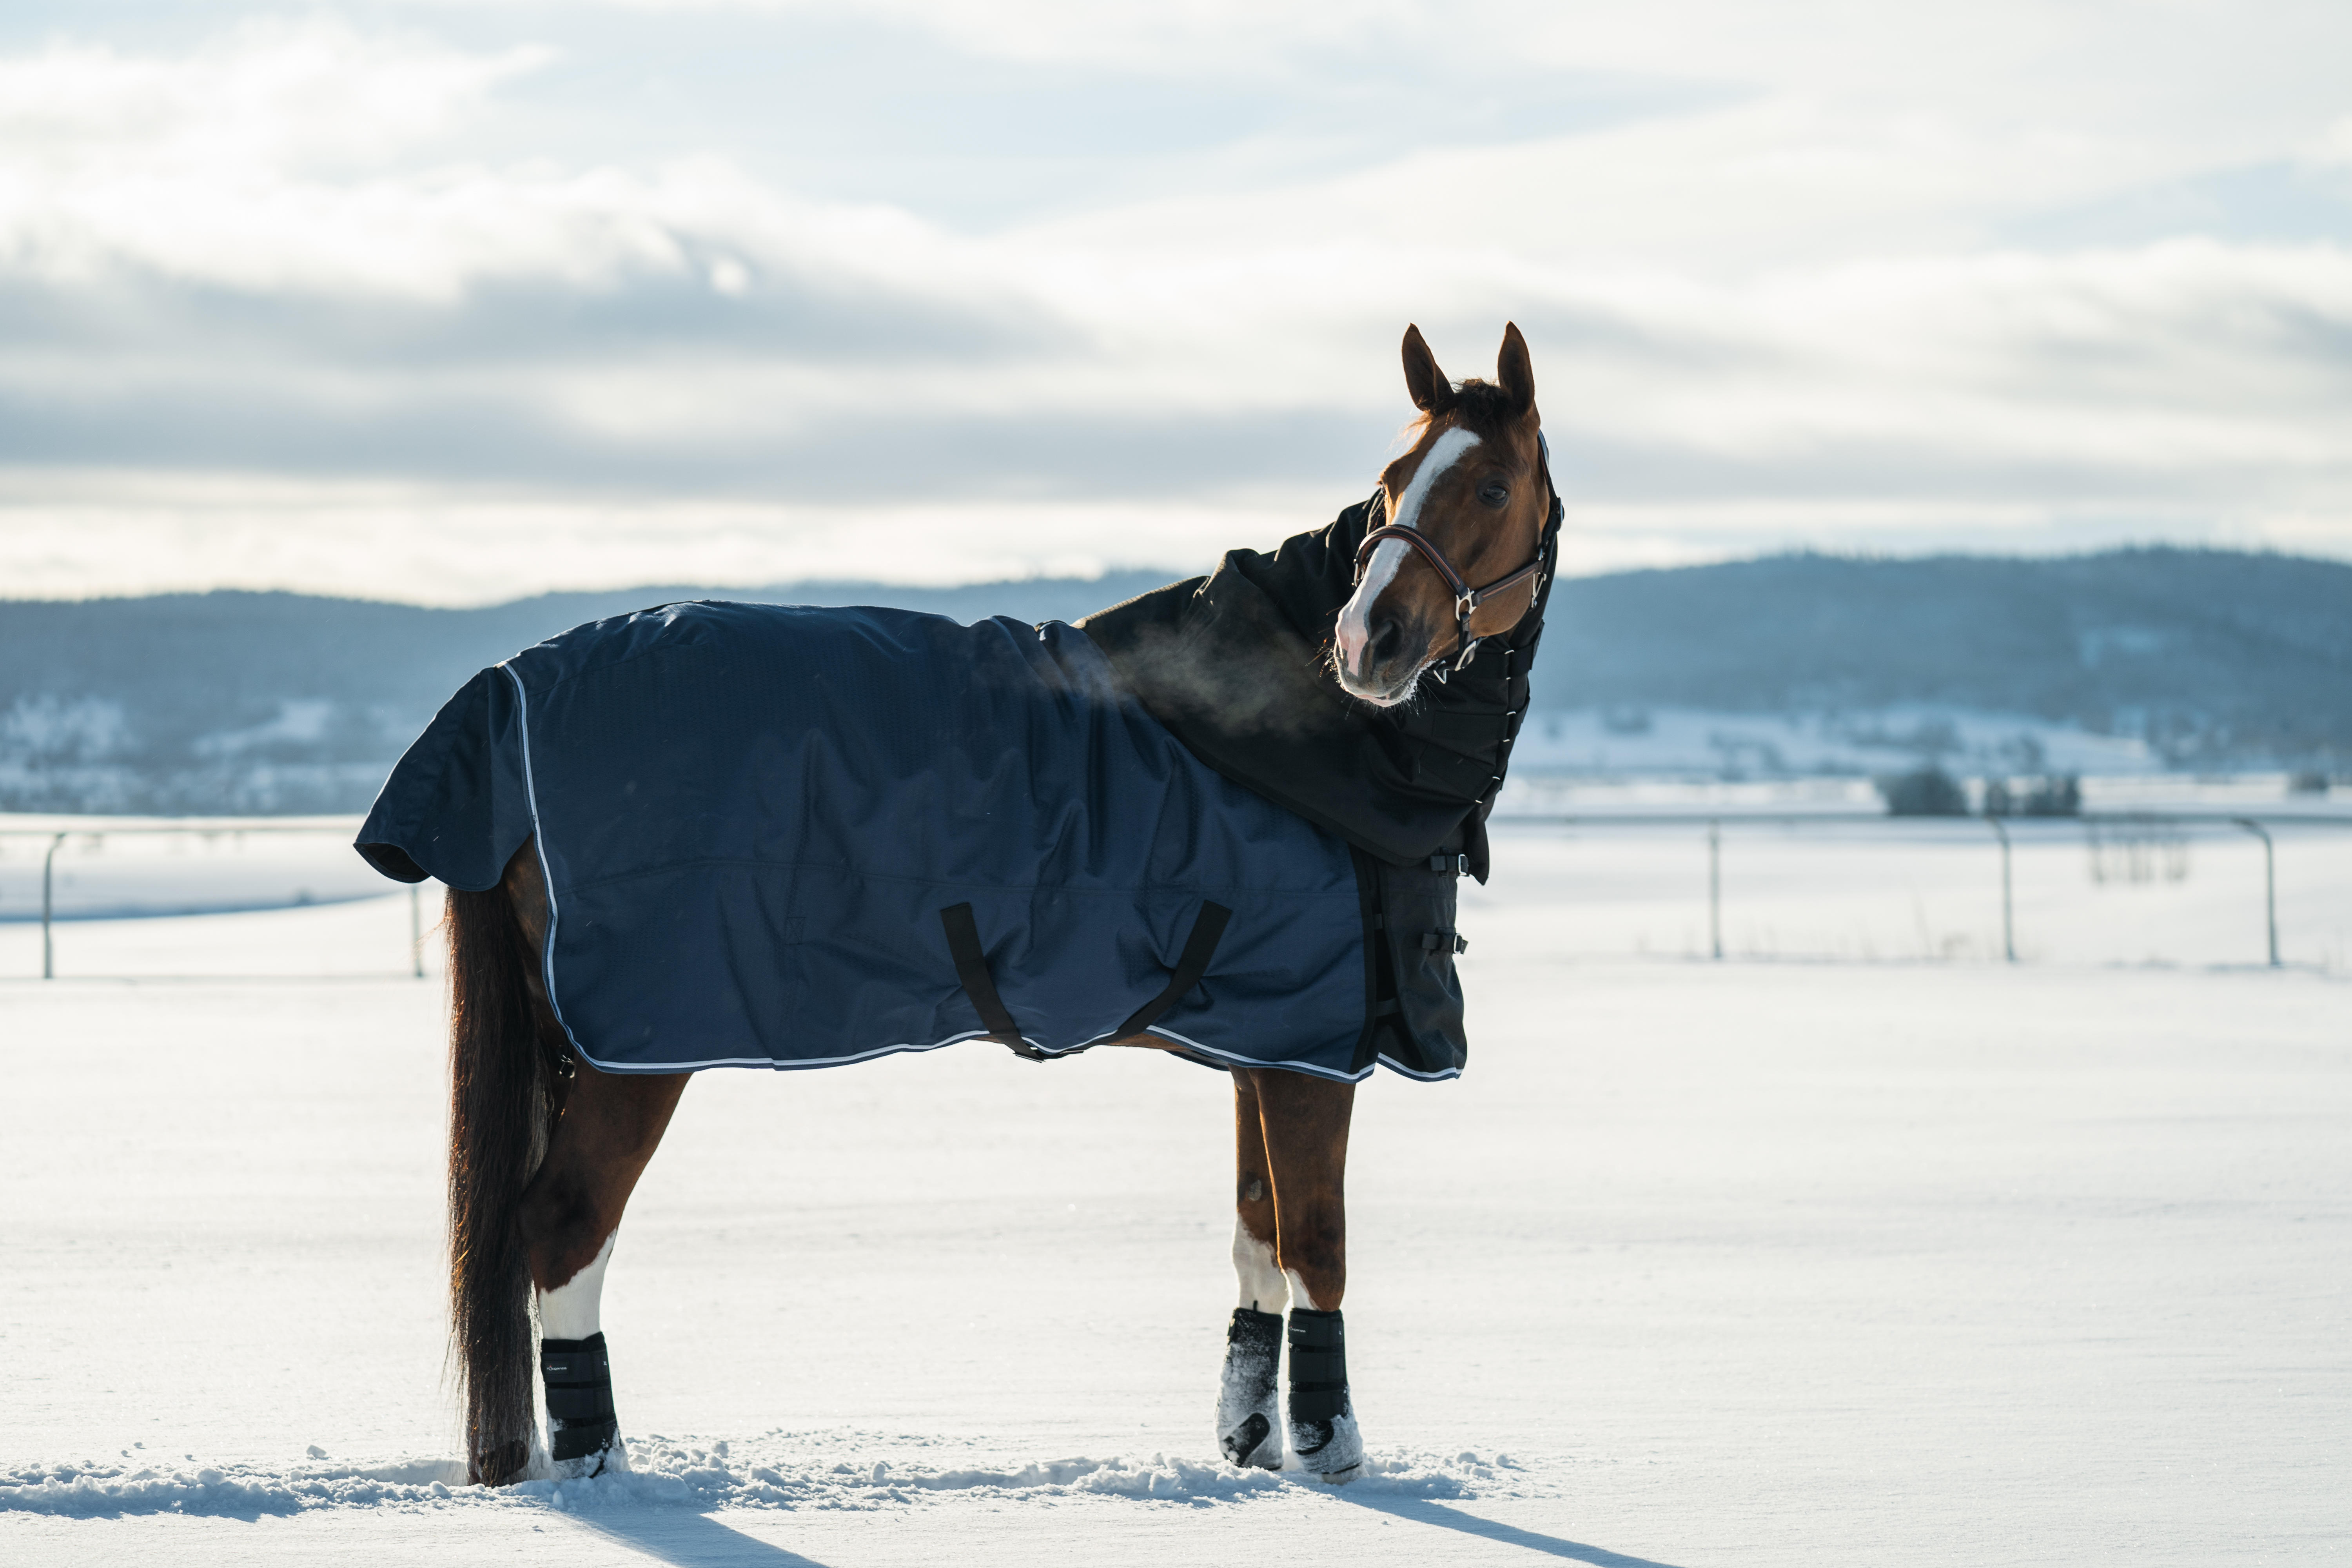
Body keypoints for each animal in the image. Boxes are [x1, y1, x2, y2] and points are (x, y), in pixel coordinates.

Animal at [395, 329, 1552, 1486]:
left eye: (1492, 485)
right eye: (1391, 483)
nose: (1368, 642)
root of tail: (500, 692)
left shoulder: (1265, 1048)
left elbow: (1257, 1236)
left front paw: (1253, 1439)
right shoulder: (1312, 1056)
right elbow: (1320, 1246)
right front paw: (1331, 1448)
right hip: (633, 1049)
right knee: (565, 1228)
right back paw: (605, 1468)